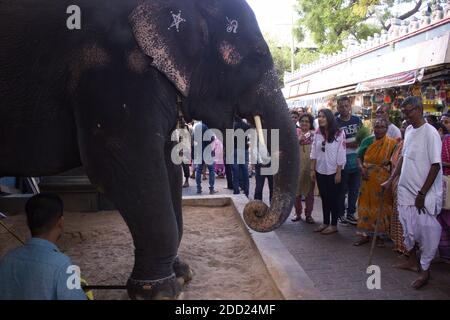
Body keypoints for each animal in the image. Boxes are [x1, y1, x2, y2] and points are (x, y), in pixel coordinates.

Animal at [1, 0, 300, 300]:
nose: (256, 208)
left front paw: (182, 274)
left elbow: (168, 166)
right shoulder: (113, 74)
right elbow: (122, 167)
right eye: (258, 54)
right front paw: (160, 292)